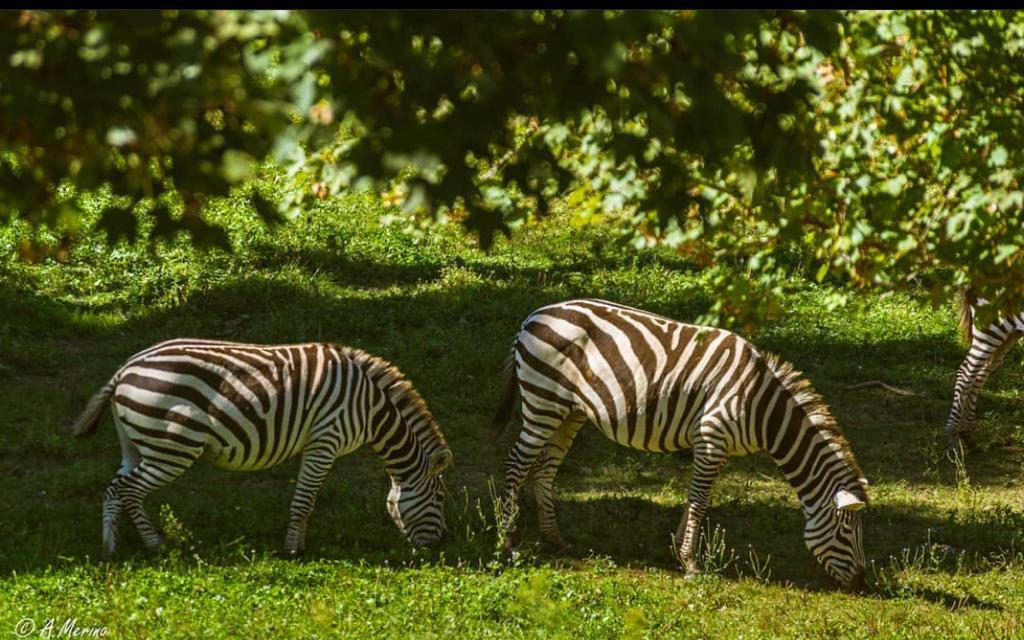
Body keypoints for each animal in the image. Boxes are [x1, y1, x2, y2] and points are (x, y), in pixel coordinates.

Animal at [72, 339, 452, 552]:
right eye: (440, 498)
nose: (441, 545)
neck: (371, 408)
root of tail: (124, 370)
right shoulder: (324, 440)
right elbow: (304, 501)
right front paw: (293, 551)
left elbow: (305, 499)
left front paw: (297, 544)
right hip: (173, 446)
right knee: (130, 490)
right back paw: (156, 547)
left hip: (136, 444)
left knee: (114, 488)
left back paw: (110, 549)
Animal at [491, 299, 868, 589]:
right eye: (847, 531)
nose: (862, 582)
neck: (761, 408)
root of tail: (531, 318)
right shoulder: (711, 438)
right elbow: (700, 502)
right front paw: (691, 564)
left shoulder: (712, 446)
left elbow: (694, 498)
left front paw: (677, 549)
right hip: (543, 401)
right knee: (516, 464)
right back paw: (508, 542)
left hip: (568, 412)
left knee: (544, 471)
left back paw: (554, 539)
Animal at [942, 286, 1024, 446]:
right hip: (991, 328)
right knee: (966, 373)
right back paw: (951, 436)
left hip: (1009, 335)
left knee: (978, 376)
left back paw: (965, 433)